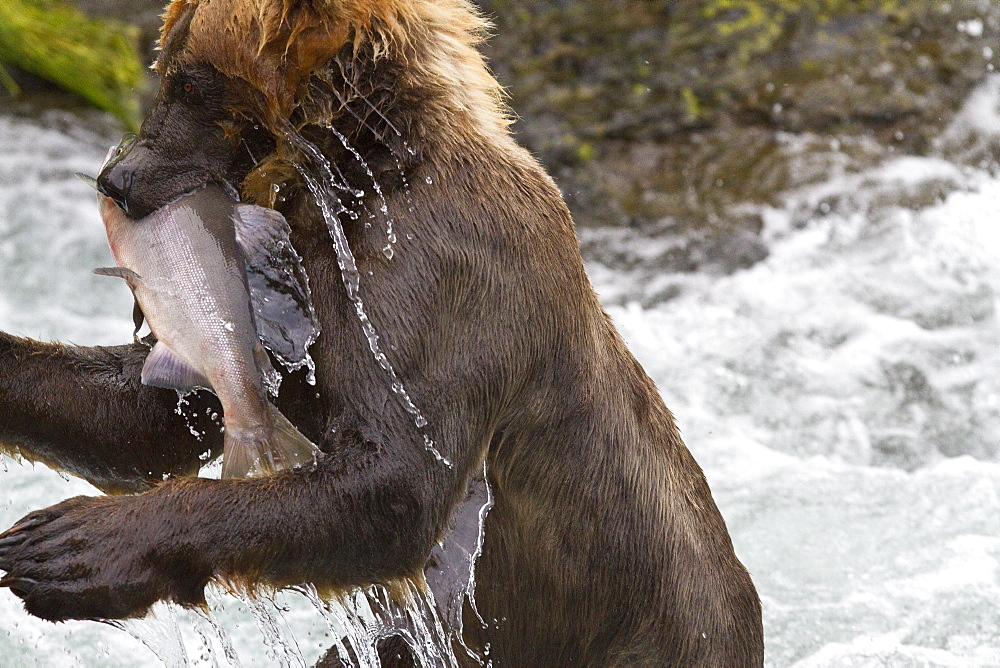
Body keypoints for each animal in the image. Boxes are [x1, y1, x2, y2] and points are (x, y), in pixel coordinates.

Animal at [0, 0, 756, 664]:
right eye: (166, 67)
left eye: (190, 82)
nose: (118, 177)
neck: (364, 177)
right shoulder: (289, 297)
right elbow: (148, 414)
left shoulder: (444, 274)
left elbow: (397, 480)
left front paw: (70, 543)